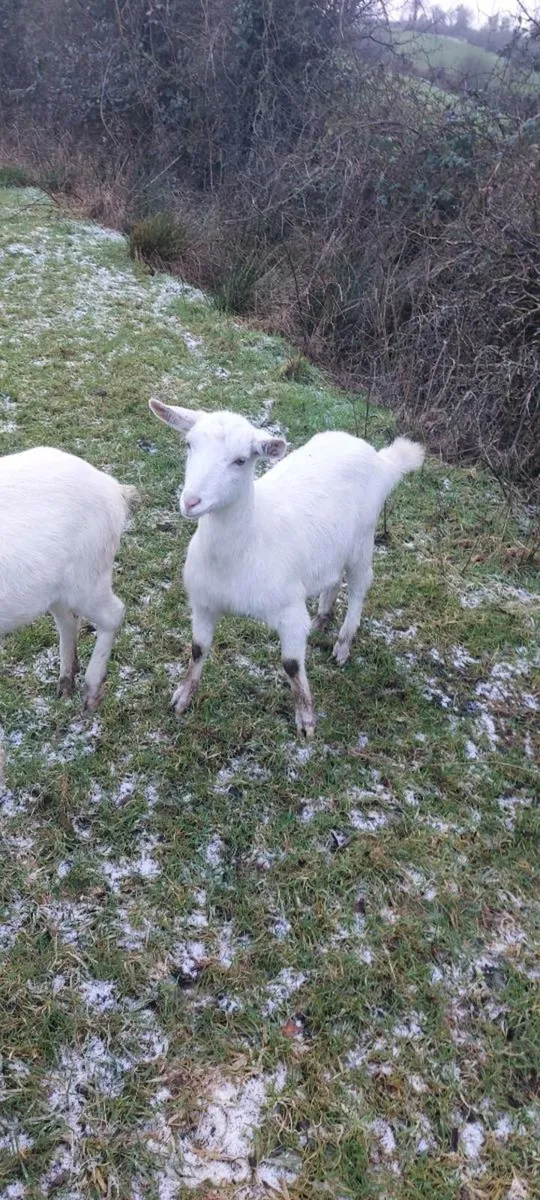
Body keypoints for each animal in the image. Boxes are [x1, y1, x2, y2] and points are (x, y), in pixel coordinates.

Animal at [0, 447, 137, 710]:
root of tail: (115, 490)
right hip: (57, 588)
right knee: (68, 619)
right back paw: (66, 683)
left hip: (89, 576)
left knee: (113, 613)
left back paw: (90, 692)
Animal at [149, 401, 424, 736]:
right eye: (189, 445)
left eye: (241, 460)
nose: (191, 501)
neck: (247, 543)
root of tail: (380, 459)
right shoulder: (204, 603)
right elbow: (198, 649)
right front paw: (182, 697)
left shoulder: (289, 610)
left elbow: (292, 665)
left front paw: (306, 720)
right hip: (332, 548)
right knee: (333, 578)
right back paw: (322, 618)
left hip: (363, 541)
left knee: (360, 587)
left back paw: (343, 644)